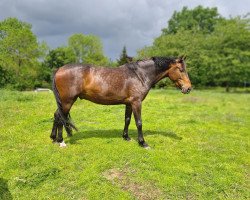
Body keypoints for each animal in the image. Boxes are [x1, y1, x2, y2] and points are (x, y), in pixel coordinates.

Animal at [50, 55, 191, 148]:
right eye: (181, 69)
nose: (188, 88)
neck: (139, 75)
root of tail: (59, 69)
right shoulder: (136, 102)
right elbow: (139, 122)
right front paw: (142, 142)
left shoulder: (129, 103)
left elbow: (127, 120)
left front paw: (126, 137)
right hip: (67, 101)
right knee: (60, 118)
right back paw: (61, 141)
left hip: (64, 102)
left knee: (57, 115)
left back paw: (54, 138)